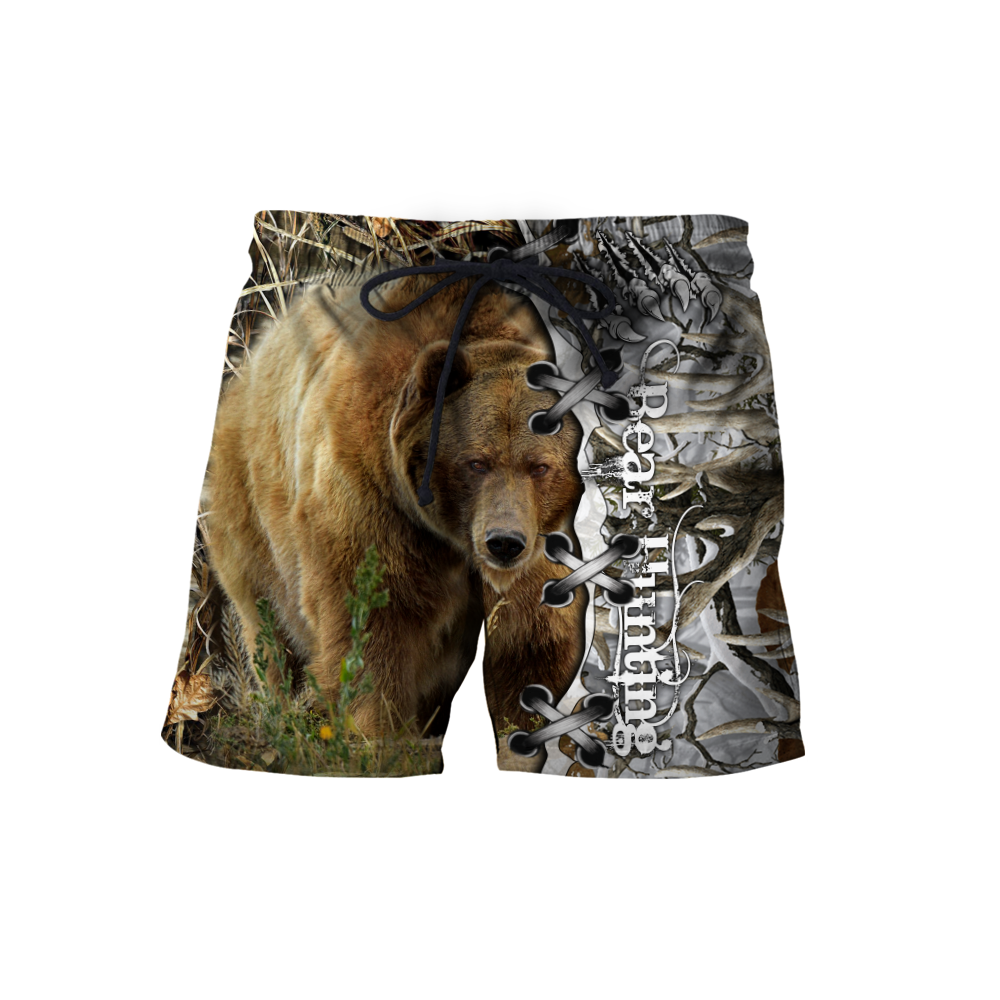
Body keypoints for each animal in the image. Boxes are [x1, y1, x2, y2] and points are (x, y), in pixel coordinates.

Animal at [205, 272, 588, 746]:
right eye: (476, 462)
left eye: (539, 466)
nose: (504, 543)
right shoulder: (374, 508)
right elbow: (371, 632)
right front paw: (379, 734)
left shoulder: (541, 548)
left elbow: (530, 648)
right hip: (250, 520)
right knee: (271, 634)